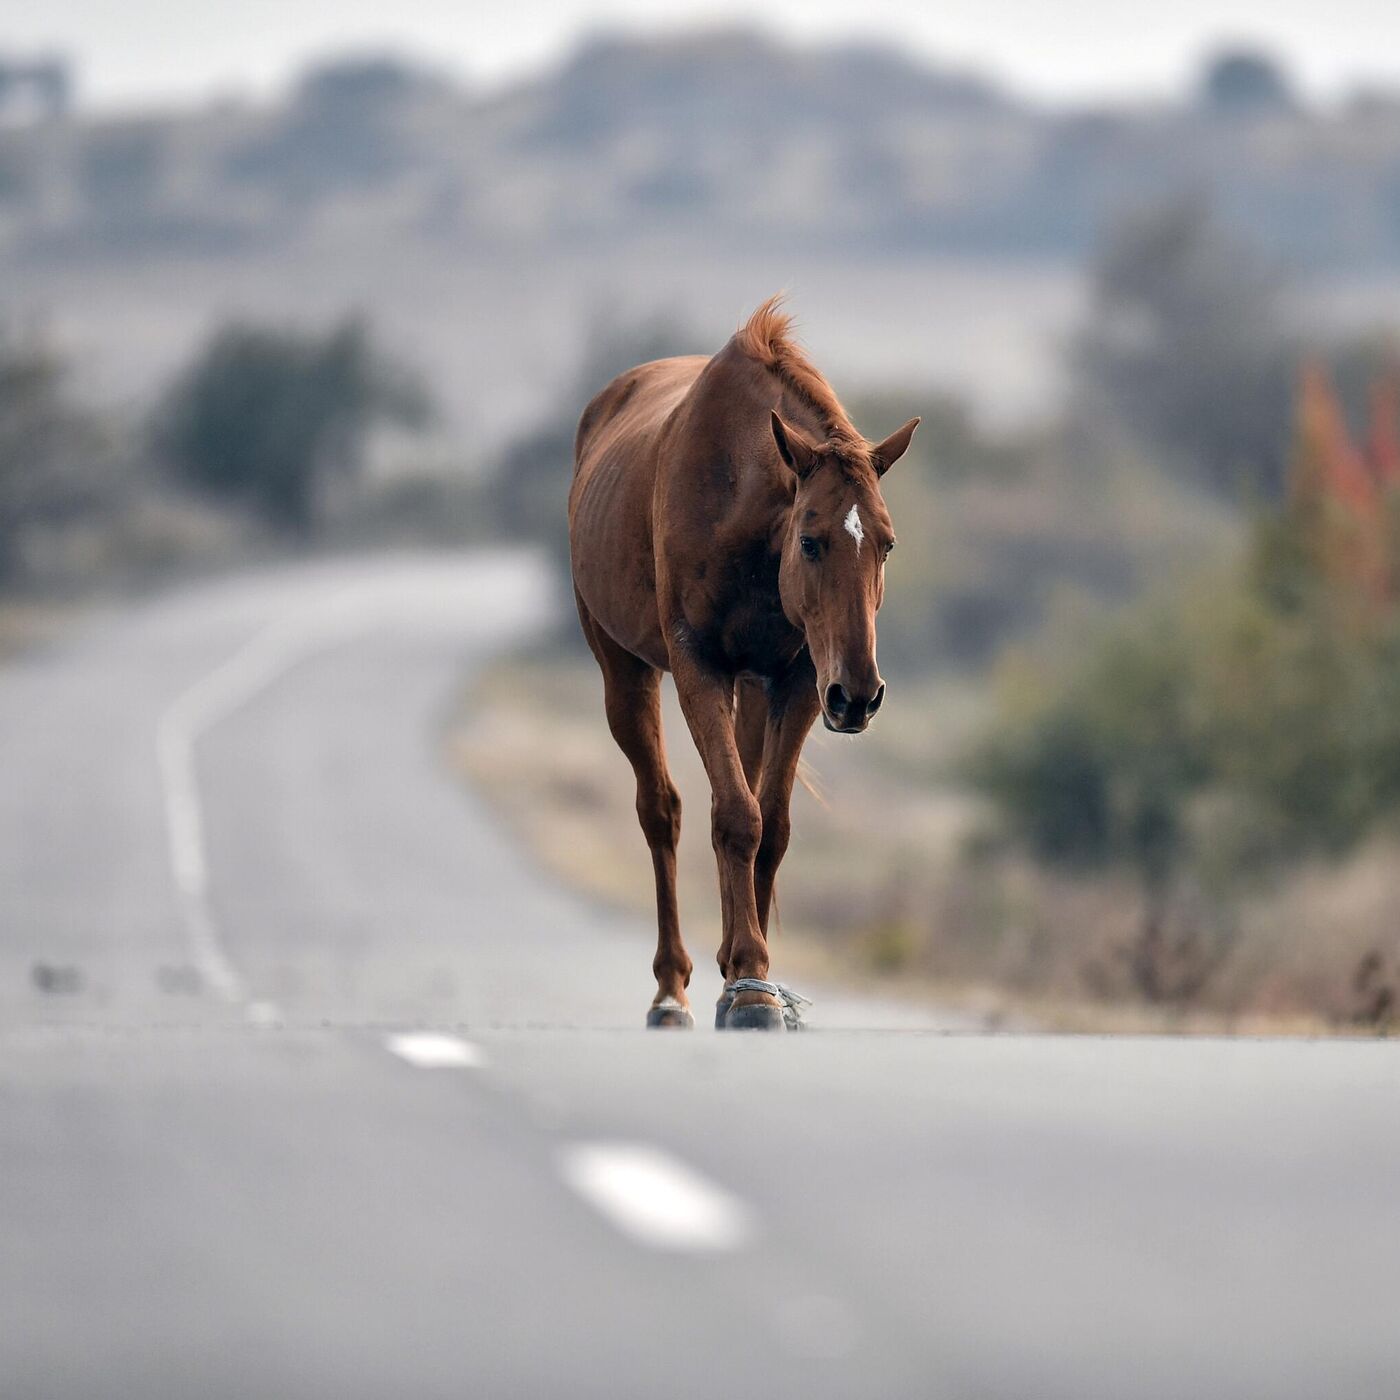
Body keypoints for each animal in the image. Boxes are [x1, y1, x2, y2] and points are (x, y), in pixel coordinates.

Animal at [568, 301, 918, 1030]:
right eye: (810, 540)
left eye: (887, 544)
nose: (860, 696)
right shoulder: (698, 666)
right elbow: (735, 815)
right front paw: (750, 983)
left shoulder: (800, 682)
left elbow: (770, 823)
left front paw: (750, 977)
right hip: (624, 670)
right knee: (661, 811)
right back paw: (670, 990)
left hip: (757, 690)